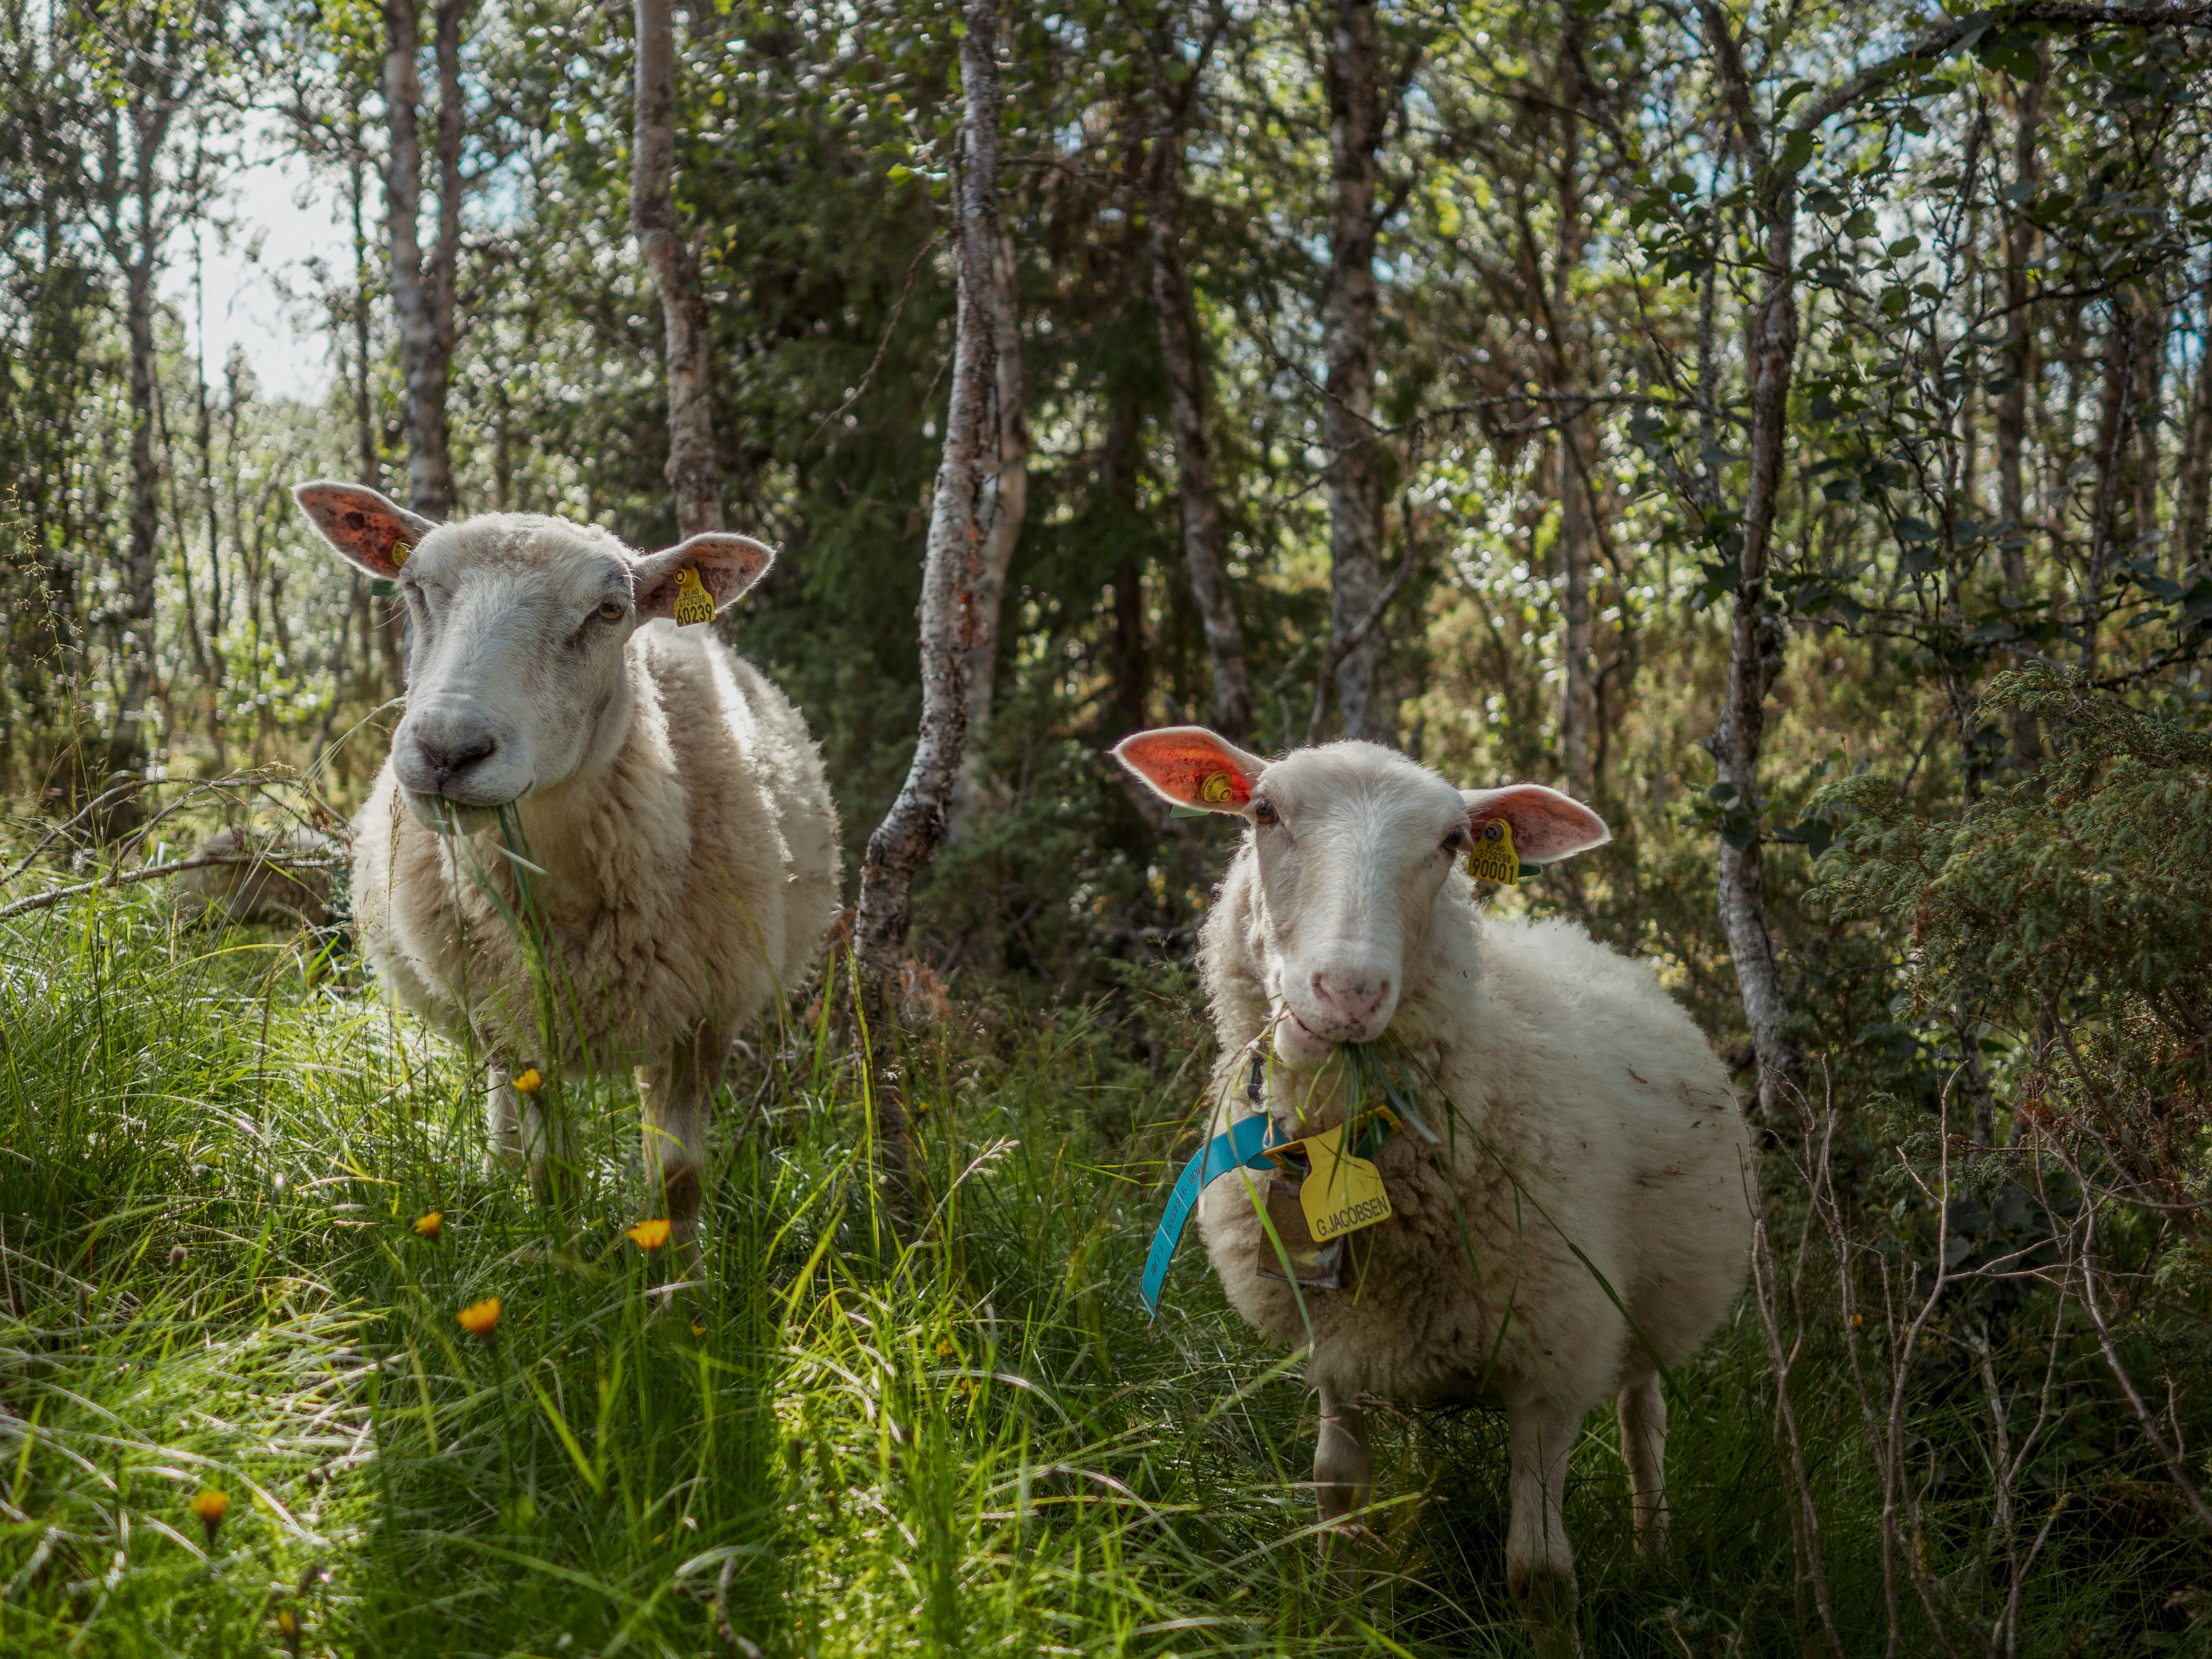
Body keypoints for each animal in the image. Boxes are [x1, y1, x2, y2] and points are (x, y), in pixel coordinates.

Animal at [294, 481, 841, 1261]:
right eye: (414, 588)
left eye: (610, 611)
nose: (449, 751)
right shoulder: (526, 1021)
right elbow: (551, 1172)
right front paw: (557, 1263)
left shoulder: (702, 1019)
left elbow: (678, 1181)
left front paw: (681, 1285)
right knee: (501, 1106)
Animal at [1116, 727, 1753, 1619]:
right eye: (1263, 811)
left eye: (1452, 842)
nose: (1347, 992)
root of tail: (1577, 935)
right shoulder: (1340, 1348)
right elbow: (1335, 1494)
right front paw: (1341, 1611)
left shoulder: (1552, 1365)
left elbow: (1539, 1572)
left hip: (1646, 1315)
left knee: (1643, 1424)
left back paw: (1653, 1556)